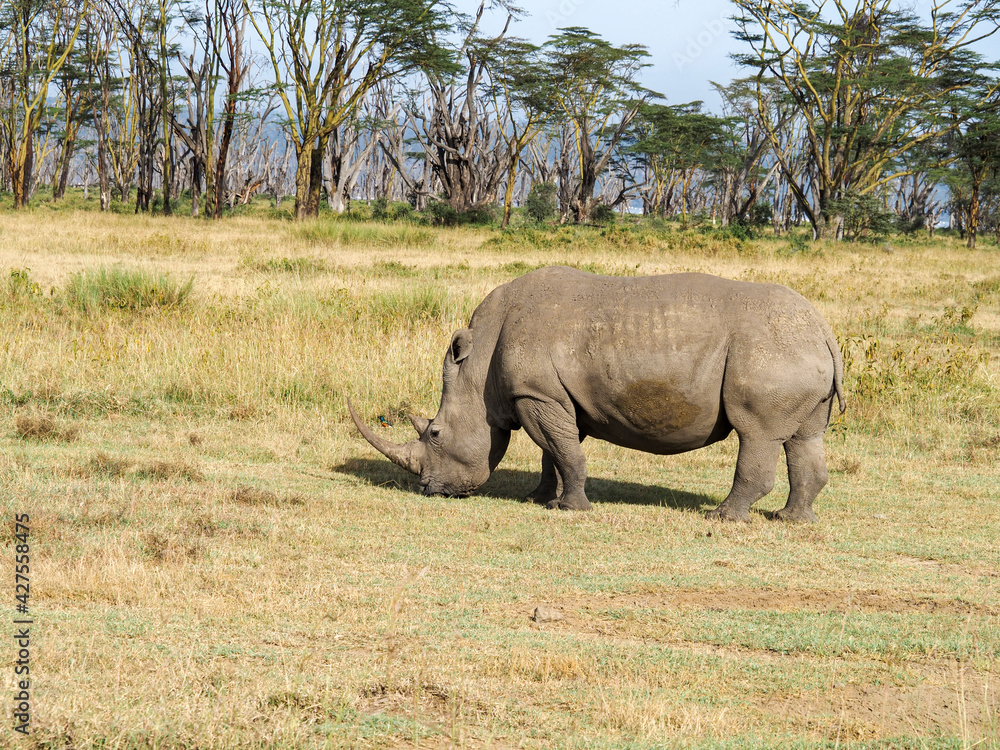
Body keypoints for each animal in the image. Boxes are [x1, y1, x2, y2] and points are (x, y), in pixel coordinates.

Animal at [349, 266, 845, 522]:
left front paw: (572, 510)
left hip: (770, 353)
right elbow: (554, 452)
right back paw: (792, 520)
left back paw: (722, 517)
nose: (428, 489)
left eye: (434, 433)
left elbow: (565, 452)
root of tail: (824, 330)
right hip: (793, 349)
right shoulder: (550, 397)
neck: (477, 368)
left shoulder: (536, 395)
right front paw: (541, 500)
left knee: (756, 432)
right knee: (804, 437)